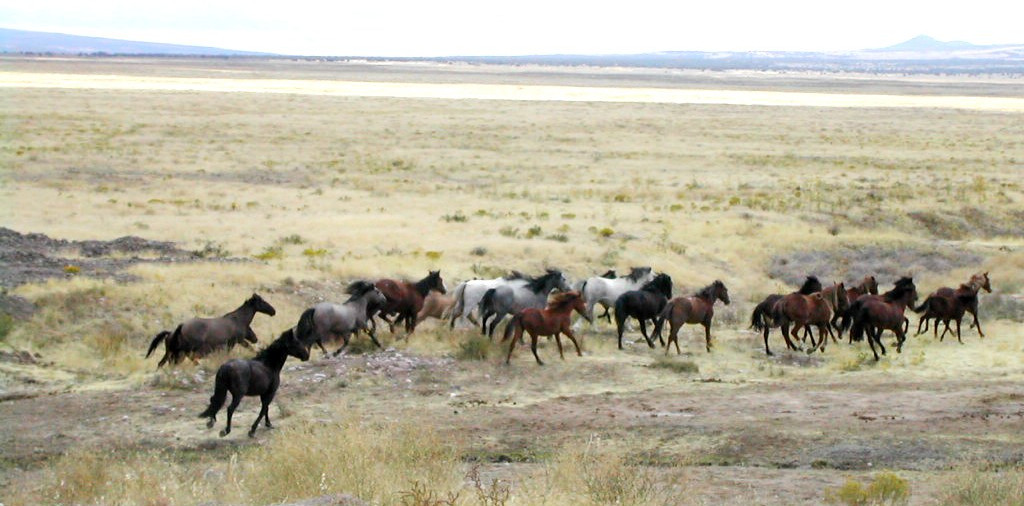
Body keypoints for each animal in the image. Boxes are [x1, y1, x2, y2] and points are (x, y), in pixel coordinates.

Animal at [146, 292, 276, 366]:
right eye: (262, 301)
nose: (273, 311)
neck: (237, 320)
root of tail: (175, 331)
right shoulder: (237, 340)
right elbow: (248, 348)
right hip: (184, 351)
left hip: (171, 352)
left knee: (162, 363)